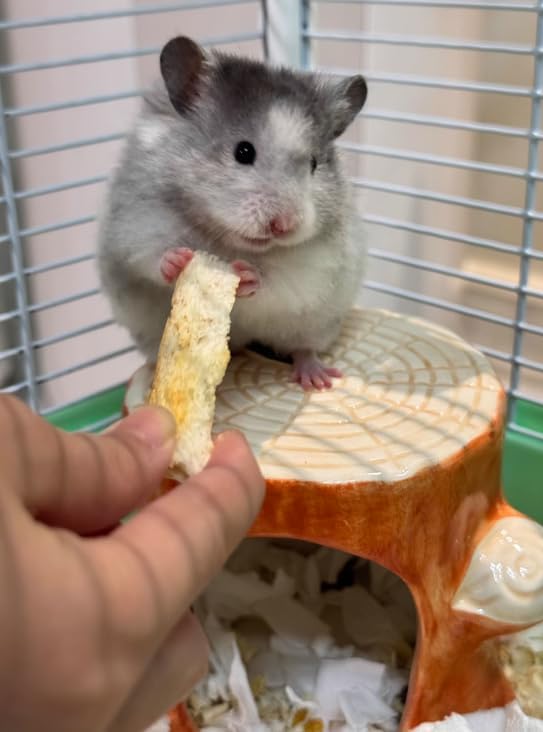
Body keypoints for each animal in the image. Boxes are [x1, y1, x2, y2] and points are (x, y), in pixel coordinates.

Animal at [97, 36, 367, 390]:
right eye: (243, 151)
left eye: (313, 164)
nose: (284, 225)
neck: (228, 242)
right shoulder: (134, 227)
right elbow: (150, 258)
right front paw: (176, 260)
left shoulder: (315, 265)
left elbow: (278, 281)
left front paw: (248, 276)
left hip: (318, 323)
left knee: (303, 348)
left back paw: (318, 377)